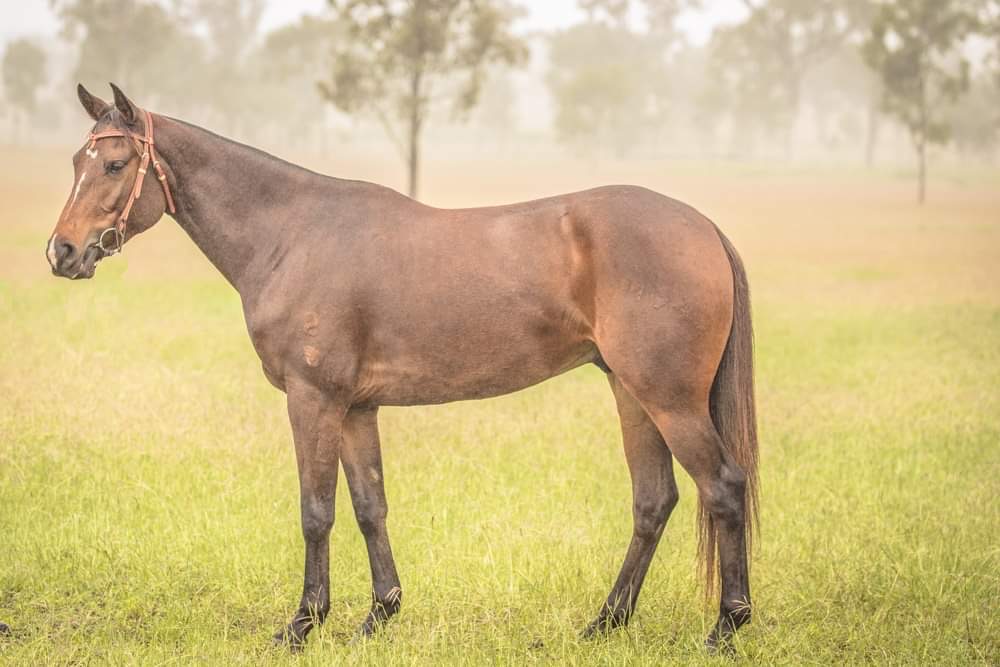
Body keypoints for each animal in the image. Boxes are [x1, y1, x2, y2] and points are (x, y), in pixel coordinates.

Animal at [45, 83, 759, 652]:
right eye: (77, 162)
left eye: (115, 163)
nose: (62, 252)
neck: (291, 233)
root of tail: (701, 227)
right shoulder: (356, 407)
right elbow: (369, 506)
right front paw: (378, 615)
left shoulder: (313, 400)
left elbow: (316, 510)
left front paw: (302, 624)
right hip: (632, 393)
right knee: (654, 499)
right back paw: (606, 622)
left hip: (669, 399)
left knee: (723, 487)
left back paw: (726, 626)